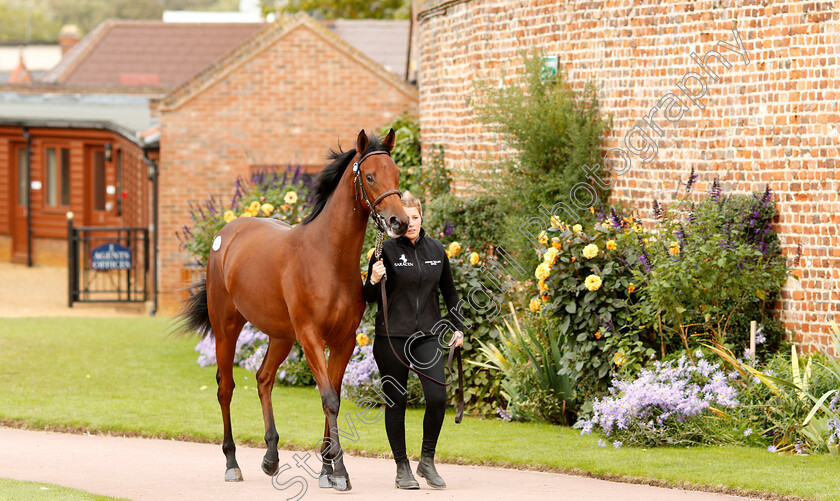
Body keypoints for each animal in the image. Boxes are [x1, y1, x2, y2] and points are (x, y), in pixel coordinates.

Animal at [179, 127, 408, 490]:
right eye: (370, 176)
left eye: (397, 173)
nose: (398, 221)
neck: (327, 257)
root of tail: (226, 234)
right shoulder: (311, 337)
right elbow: (329, 398)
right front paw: (340, 472)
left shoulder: (343, 341)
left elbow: (333, 396)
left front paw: (327, 470)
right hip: (227, 327)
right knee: (226, 388)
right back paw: (232, 462)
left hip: (280, 336)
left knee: (263, 378)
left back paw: (271, 458)